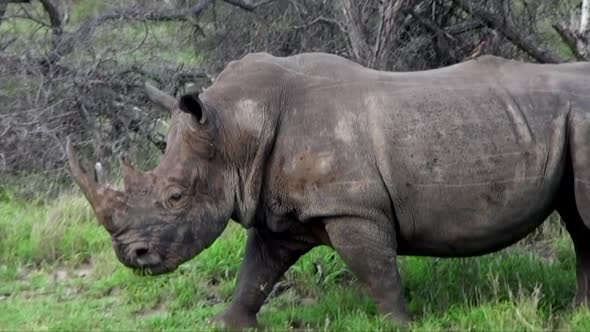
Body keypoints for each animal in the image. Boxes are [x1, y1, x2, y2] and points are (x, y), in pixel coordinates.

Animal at [67, 52, 590, 330]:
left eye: (175, 197)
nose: (131, 256)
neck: (236, 128)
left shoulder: (352, 209)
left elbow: (377, 273)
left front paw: (401, 324)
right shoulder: (279, 211)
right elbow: (256, 271)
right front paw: (229, 323)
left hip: (581, 118)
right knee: (581, 223)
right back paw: (579, 311)